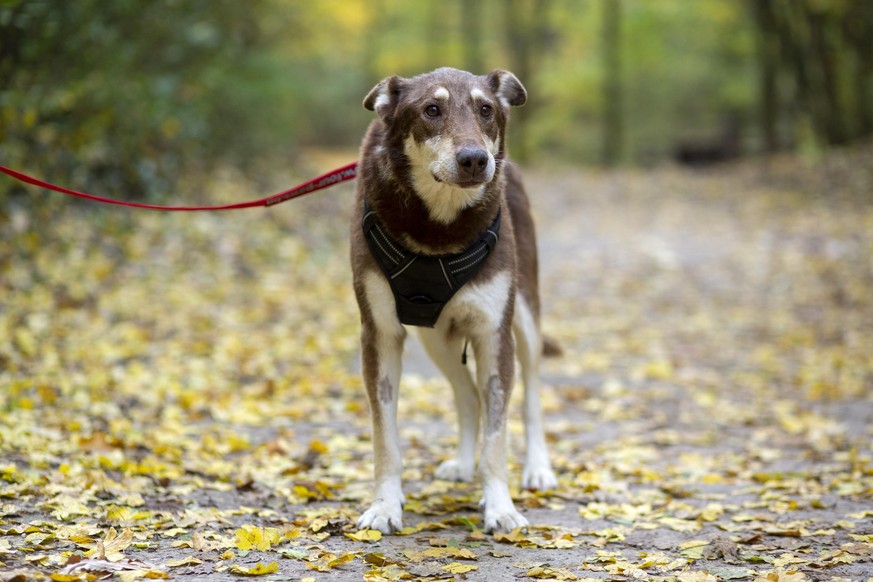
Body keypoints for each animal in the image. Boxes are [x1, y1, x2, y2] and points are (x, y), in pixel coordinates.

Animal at [350, 67, 556, 532]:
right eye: (431, 109)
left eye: (486, 109)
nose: (475, 159)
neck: (438, 230)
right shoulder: (380, 334)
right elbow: (384, 438)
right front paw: (385, 505)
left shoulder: (494, 333)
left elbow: (498, 437)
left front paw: (500, 506)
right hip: (437, 338)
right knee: (468, 395)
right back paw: (464, 464)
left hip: (526, 318)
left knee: (532, 395)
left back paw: (538, 468)